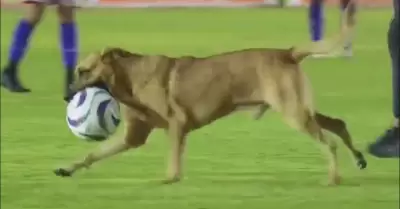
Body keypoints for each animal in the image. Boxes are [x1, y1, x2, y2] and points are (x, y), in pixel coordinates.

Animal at [54, 5, 368, 185]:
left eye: (83, 70)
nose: (66, 97)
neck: (130, 77)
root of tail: (287, 53)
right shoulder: (133, 137)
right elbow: (93, 153)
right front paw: (67, 168)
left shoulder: (176, 125)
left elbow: (173, 163)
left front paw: (170, 179)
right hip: (300, 109)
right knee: (338, 124)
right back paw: (359, 159)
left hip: (293, 112)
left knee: (329, 142)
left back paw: (334, 177)